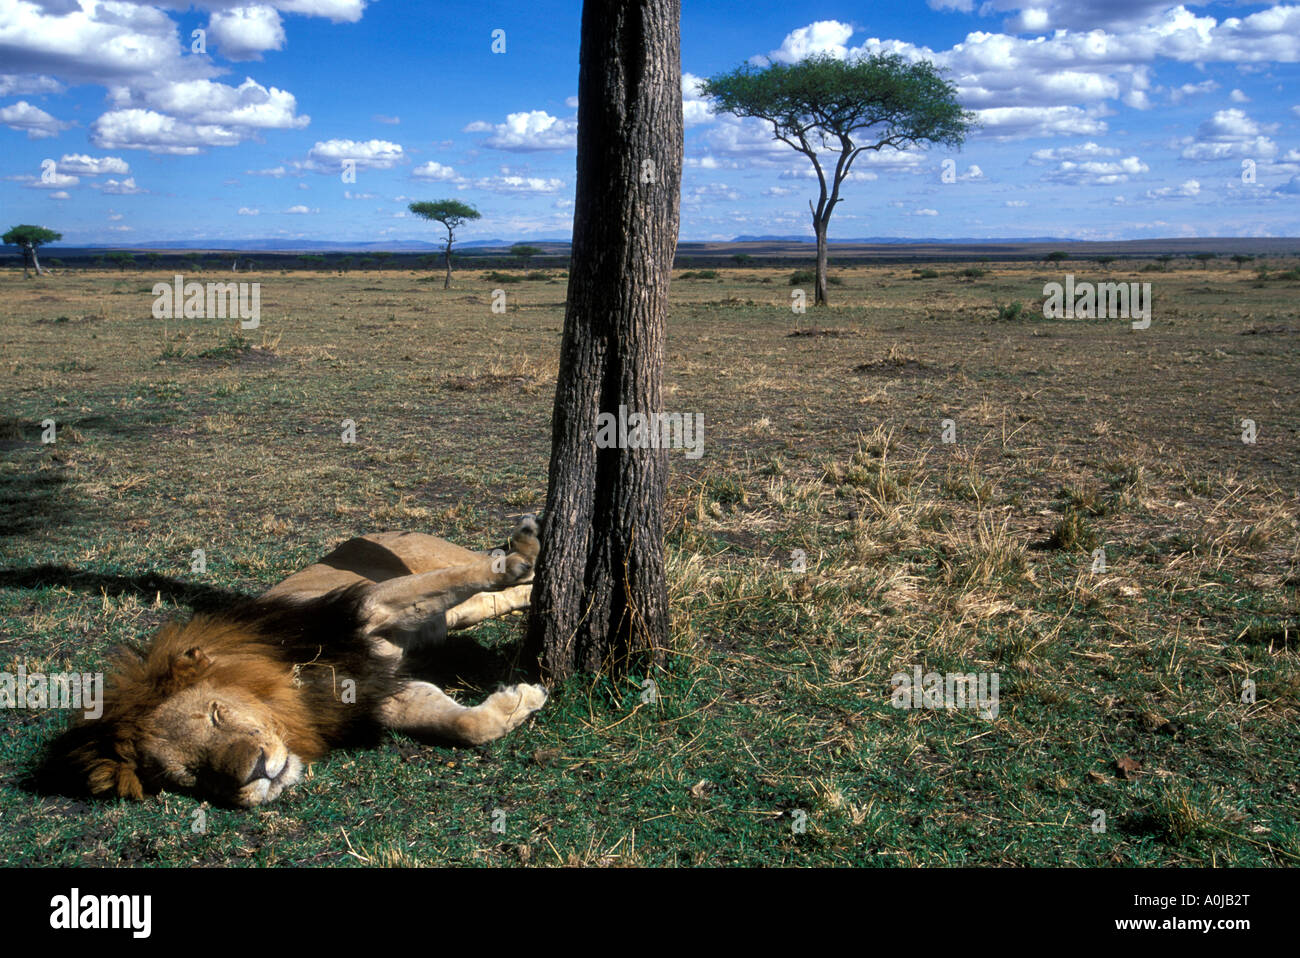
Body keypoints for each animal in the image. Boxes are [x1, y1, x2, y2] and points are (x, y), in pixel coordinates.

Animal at [37, 517, 547, 808]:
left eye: (217, 714)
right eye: (191, 775)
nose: (256, 772)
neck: (294, 688)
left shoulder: (367, 606)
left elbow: (468, 575)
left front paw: (518, 555)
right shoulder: (383, 693)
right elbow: (461, 723)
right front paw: (518, 702)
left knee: (481, 567)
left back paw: (525, 545)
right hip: (460, 613)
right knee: (498, 601)